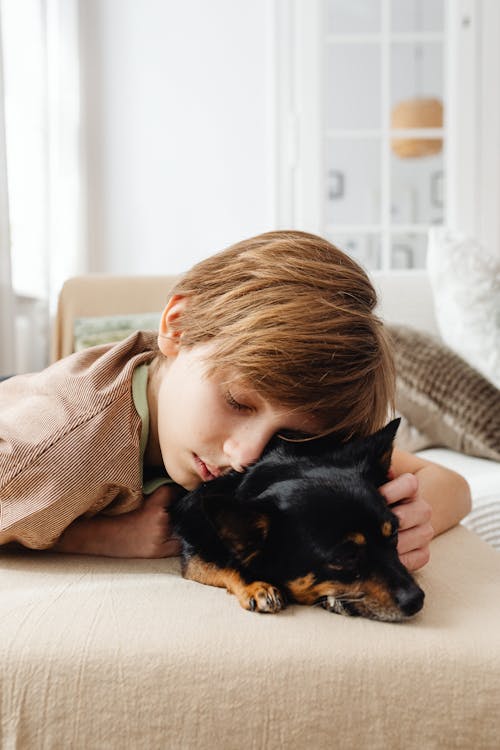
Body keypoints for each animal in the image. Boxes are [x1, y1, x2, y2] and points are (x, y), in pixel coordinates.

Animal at [170, 418, 424, 624]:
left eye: (395, 533)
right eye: (346, 556)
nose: (418, 600)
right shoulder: (195, 548)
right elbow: (225, 561)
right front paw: (257, 585)